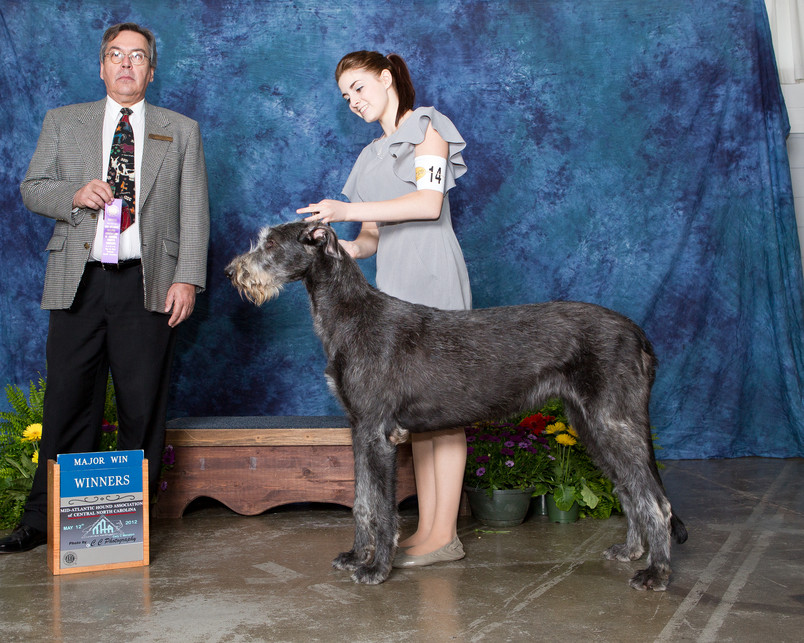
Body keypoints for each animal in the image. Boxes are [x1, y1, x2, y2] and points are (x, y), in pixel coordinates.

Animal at [225, 220, 684, 588]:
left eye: (270, 243)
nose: (232, 271)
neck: (351, 315)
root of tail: (639, 335)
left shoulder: (379, 432)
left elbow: (382, 508)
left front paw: (376, 569)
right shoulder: (358, 428)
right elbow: (361, 502)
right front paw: (356, 556)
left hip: (612, 420)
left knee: (655, 500)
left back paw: (656, 573)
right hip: (590, 424)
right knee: (629, 489)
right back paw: (631, 551)